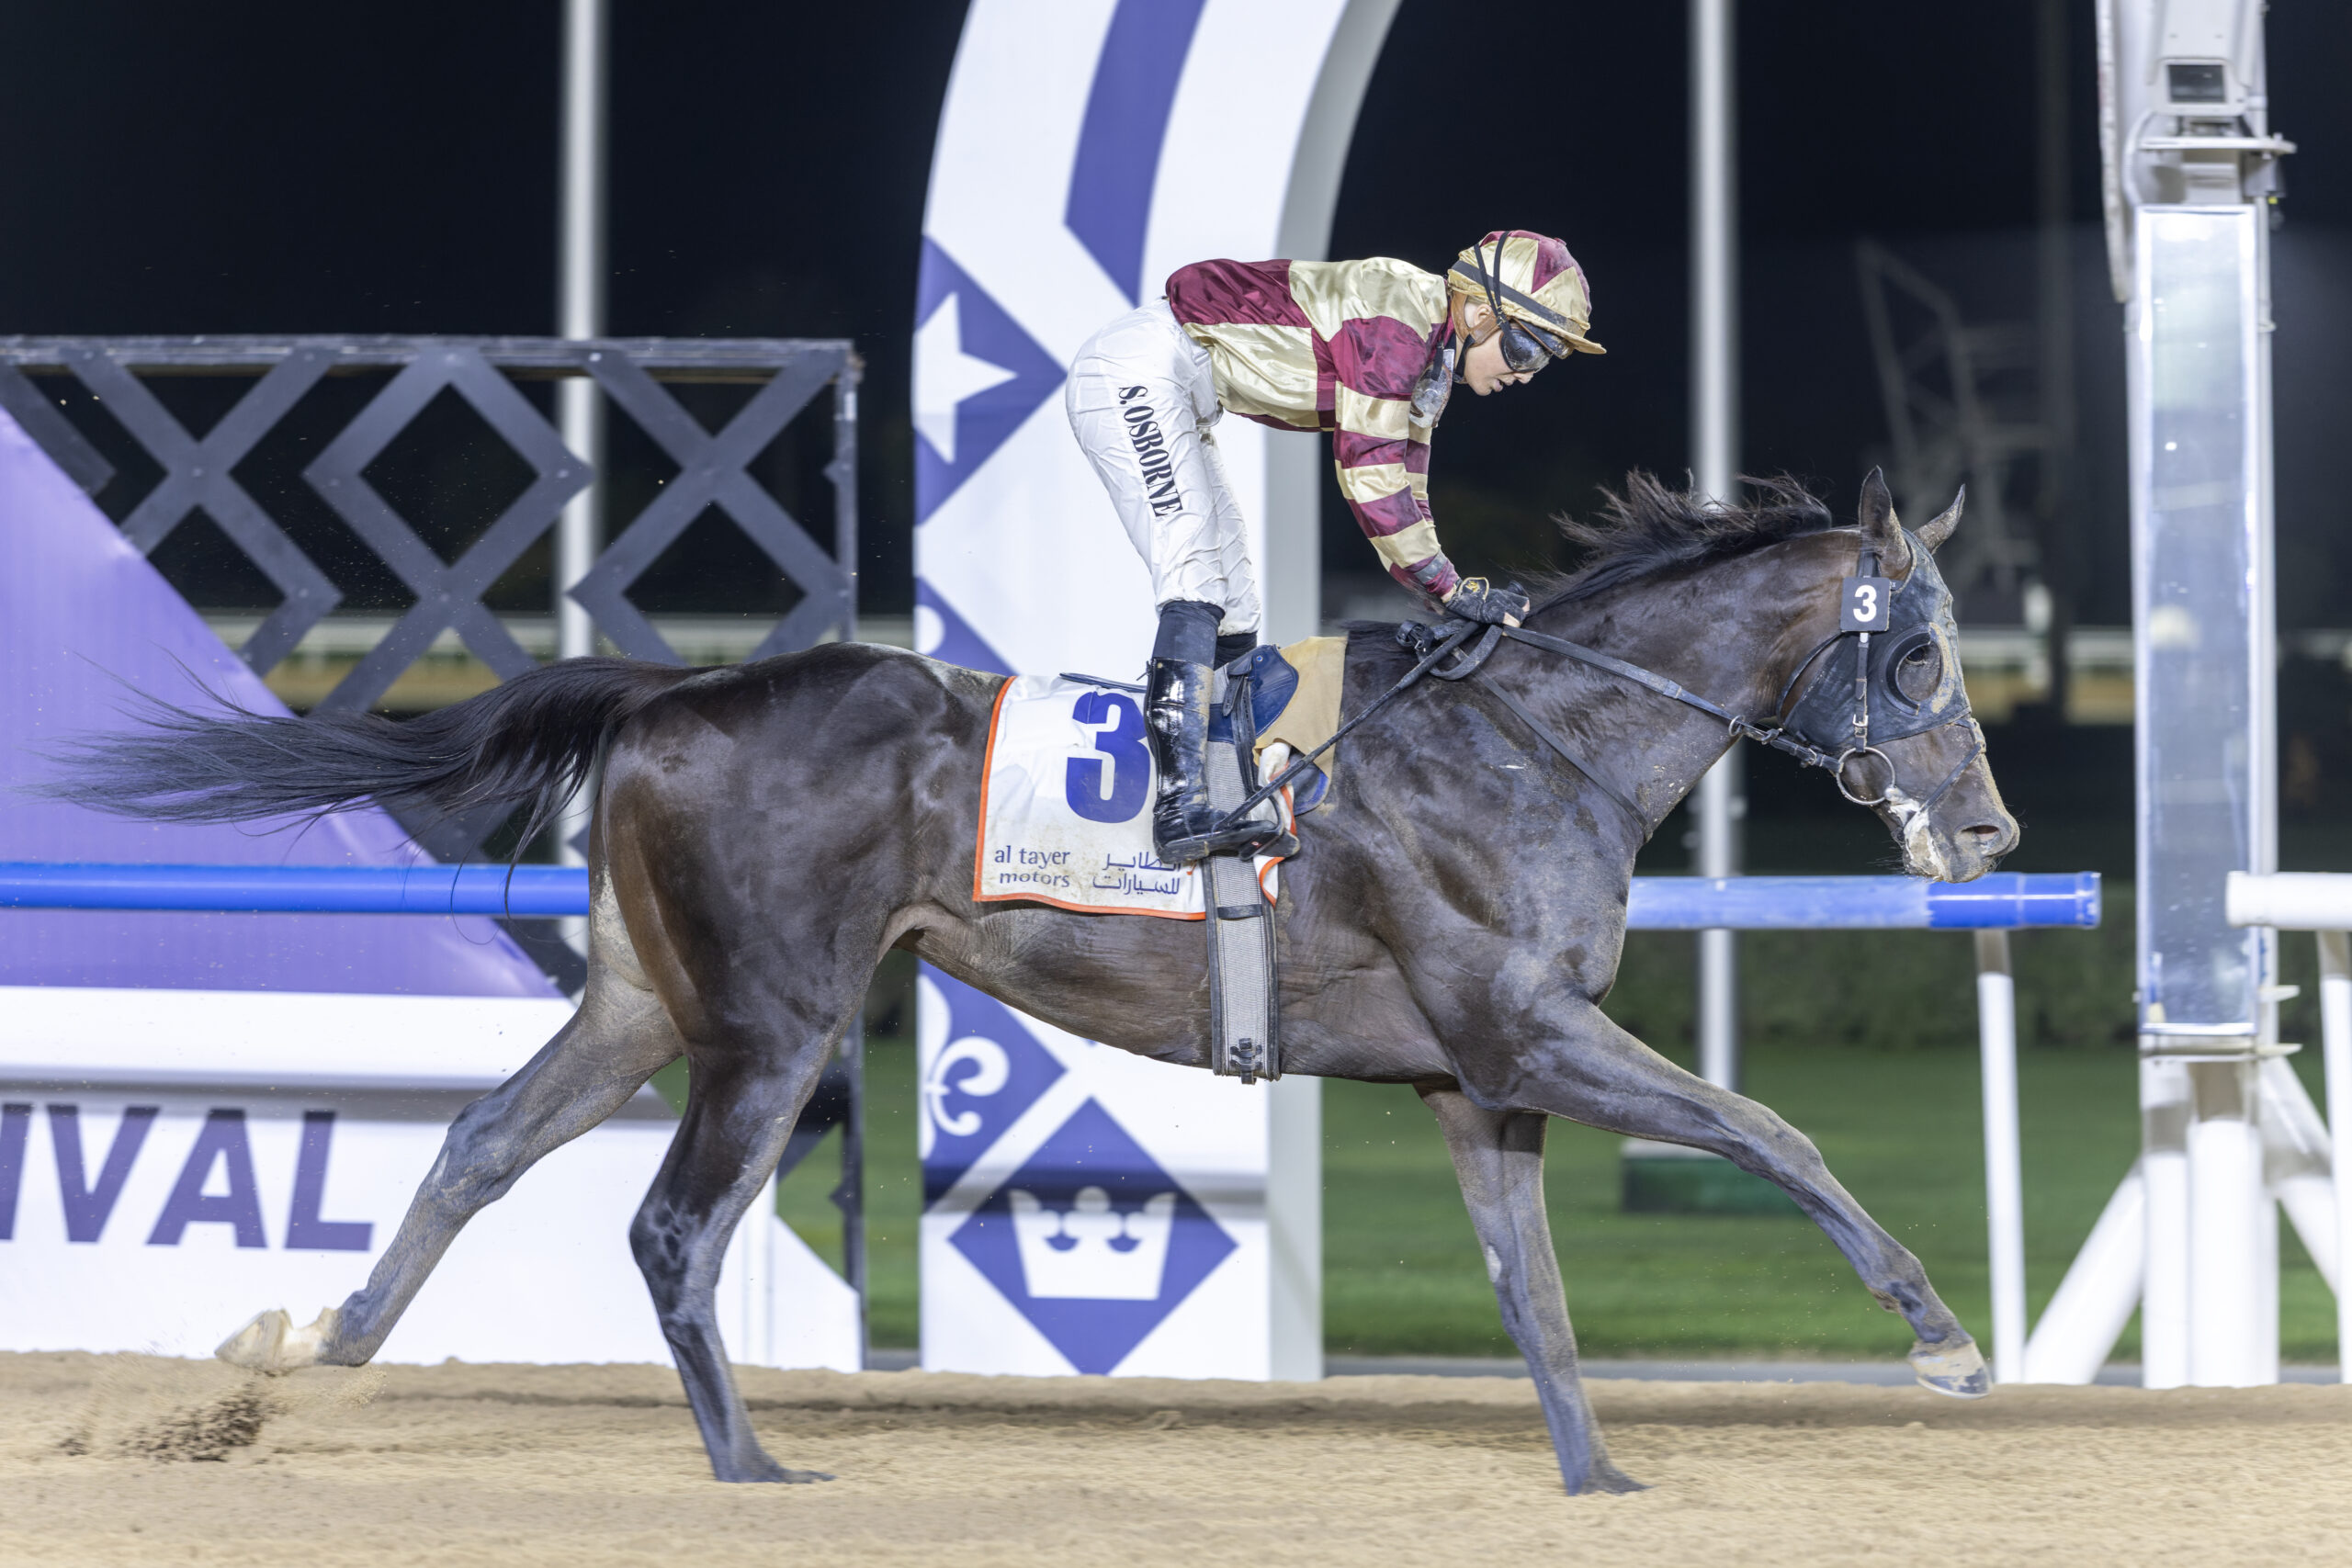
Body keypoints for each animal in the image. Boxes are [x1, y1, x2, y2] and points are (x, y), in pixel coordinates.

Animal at [56, 470, 2017, 1495]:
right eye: (1920, 655)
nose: (1993, 829)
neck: (1541, 736)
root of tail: (672, 692)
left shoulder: (1477, 1074)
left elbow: (1533, 1288)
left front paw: (1598, 1478)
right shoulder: (1526, 1027)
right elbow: (1768, 1129)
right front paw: (1940, 1340)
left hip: (637, 1002)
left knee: (477, 1143)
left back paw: (316, 1360)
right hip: (774, 1025)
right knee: (673, 1225)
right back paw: (750, 1468)